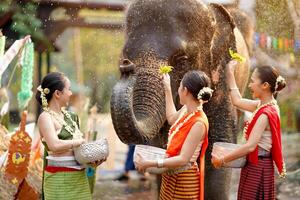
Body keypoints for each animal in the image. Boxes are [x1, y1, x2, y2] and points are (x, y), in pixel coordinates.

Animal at [111, 0, 252, 199]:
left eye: (182, 59)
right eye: (125, 56)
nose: (126, 67)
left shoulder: (222, 84)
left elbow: (215, 152)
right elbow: (163, 149)